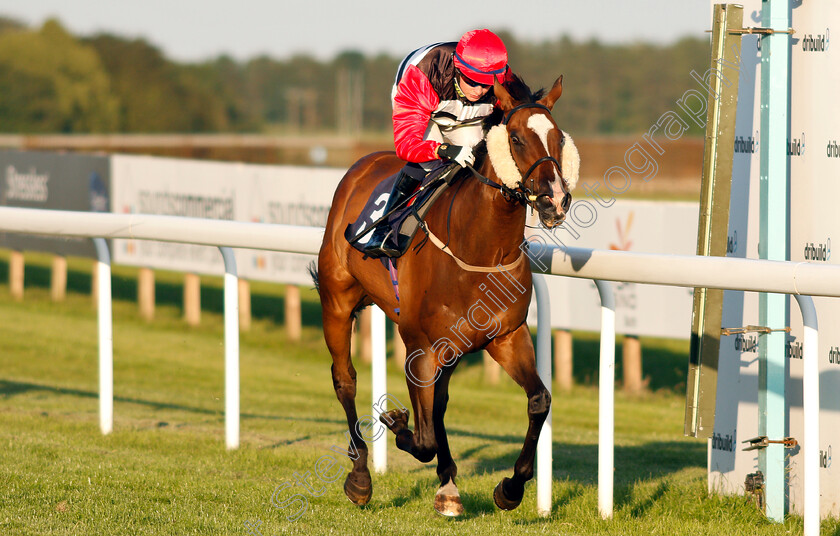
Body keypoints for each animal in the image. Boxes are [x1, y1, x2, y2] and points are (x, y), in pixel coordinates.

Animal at [314, 74, 576, 516]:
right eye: (517, 138)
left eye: (558, 138)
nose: (554, 200)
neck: (479, 248)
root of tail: (362, 165)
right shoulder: (419, 344)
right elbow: (423, 438)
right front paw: (396, 424)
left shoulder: (506, 336)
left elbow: (539, 400)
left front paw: (510, 488)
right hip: (337, 302)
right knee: (344, 380)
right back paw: (361, 477)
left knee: (439, 403)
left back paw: (447, 483)